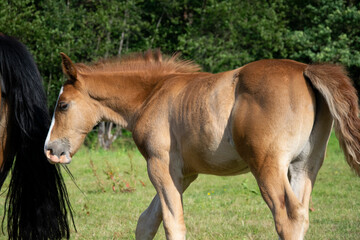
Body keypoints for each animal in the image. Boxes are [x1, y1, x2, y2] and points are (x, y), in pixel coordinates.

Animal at [43, 49, 358, 239]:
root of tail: (306, 70)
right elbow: (147, 222)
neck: (152, 94)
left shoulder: (159, 165)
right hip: (305, 167)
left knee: (288, 217)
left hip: (267, 166)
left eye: (63, 105)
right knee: (302, 215)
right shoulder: (183, 174)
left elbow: (172, 223)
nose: (50, 150)